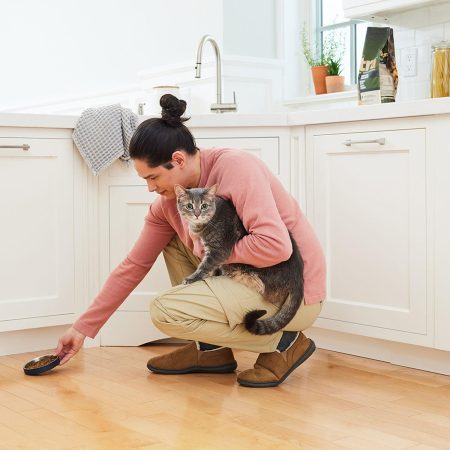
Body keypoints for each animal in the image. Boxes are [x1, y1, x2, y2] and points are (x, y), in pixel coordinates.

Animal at [174, 183, 304, 334]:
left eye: (204, 206)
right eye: (189, 206)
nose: (197, 214)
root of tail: (299, 278)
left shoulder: (218, 251)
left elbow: (204, 266)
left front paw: (192, 278)